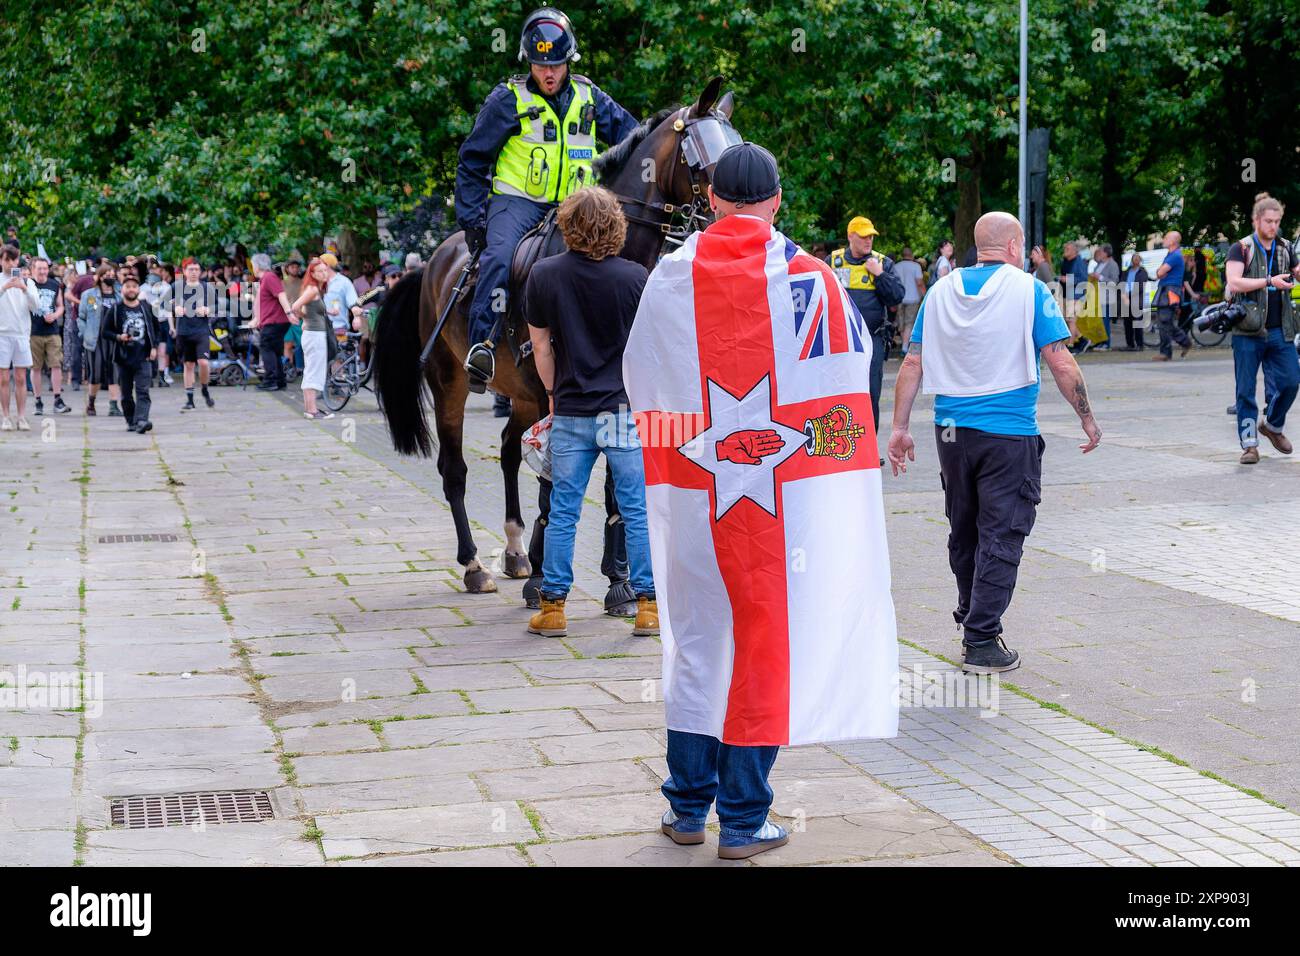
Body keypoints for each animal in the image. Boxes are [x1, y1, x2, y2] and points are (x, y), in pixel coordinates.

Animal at [377, 80, 743, 606]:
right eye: (699, 150)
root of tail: (434, 260)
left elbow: (614, 482)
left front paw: (621, 581)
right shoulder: (560, 390)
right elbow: (557, 480)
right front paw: (546, 581)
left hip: (524, 396)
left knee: (510, 452)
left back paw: (514, 551)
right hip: (452, 385)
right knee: (455, 470)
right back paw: (474, 565)